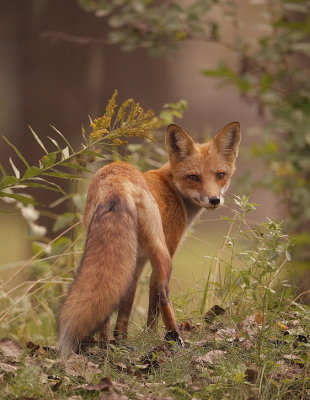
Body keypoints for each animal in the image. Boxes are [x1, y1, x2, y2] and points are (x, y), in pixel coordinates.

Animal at [58, 122, 242, 356]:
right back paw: (176, 338)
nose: (214, 200)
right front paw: (150, 336)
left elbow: (125, 305)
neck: (172, 189)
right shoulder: (163, 251)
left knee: (107, 304)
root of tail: (116, 179)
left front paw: (121, 340)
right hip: (162, 253)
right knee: (163, 294)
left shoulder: (136, 262)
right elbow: (153, 304)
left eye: (220, 174)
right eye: (194, 177)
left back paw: (104, 347)